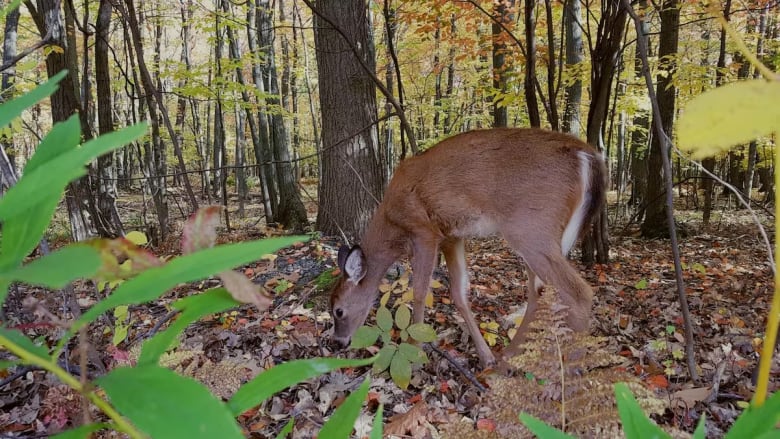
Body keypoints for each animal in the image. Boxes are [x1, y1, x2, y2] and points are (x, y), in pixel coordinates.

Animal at [330, 127, 608, 368]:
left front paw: (416, 351)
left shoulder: (424, 231)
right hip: (537, 234)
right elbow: (459, 293)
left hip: (530, 228)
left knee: (578, 292)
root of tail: (588, 155)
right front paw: (485, 356)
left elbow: (419, 291)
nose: (339, 343)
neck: (392, 224)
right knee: (538, 293)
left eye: (338, 311)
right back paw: (509, 358)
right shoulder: (452, 237)